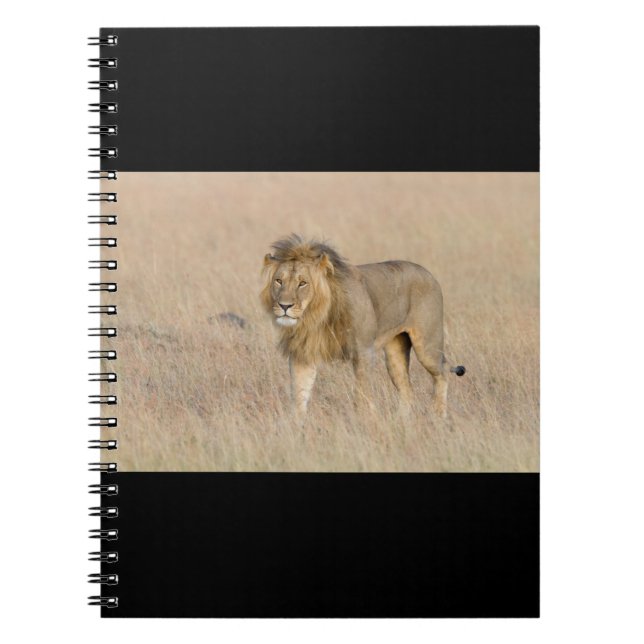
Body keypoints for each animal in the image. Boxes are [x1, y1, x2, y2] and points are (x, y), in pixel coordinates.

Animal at [260, 234, 465, 419]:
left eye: (303, 283)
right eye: (279, 281)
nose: (284, 306)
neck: (315, 316)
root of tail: (427, 273)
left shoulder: (363, 351)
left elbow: (362, 392)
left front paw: (364, 420)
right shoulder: (302, 354)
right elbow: (299, 394)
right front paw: (296, 426)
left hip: (427, 347)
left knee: (442, 372)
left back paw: (438, 415)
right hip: (395, 353)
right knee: (407, 390)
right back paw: (401, 420)